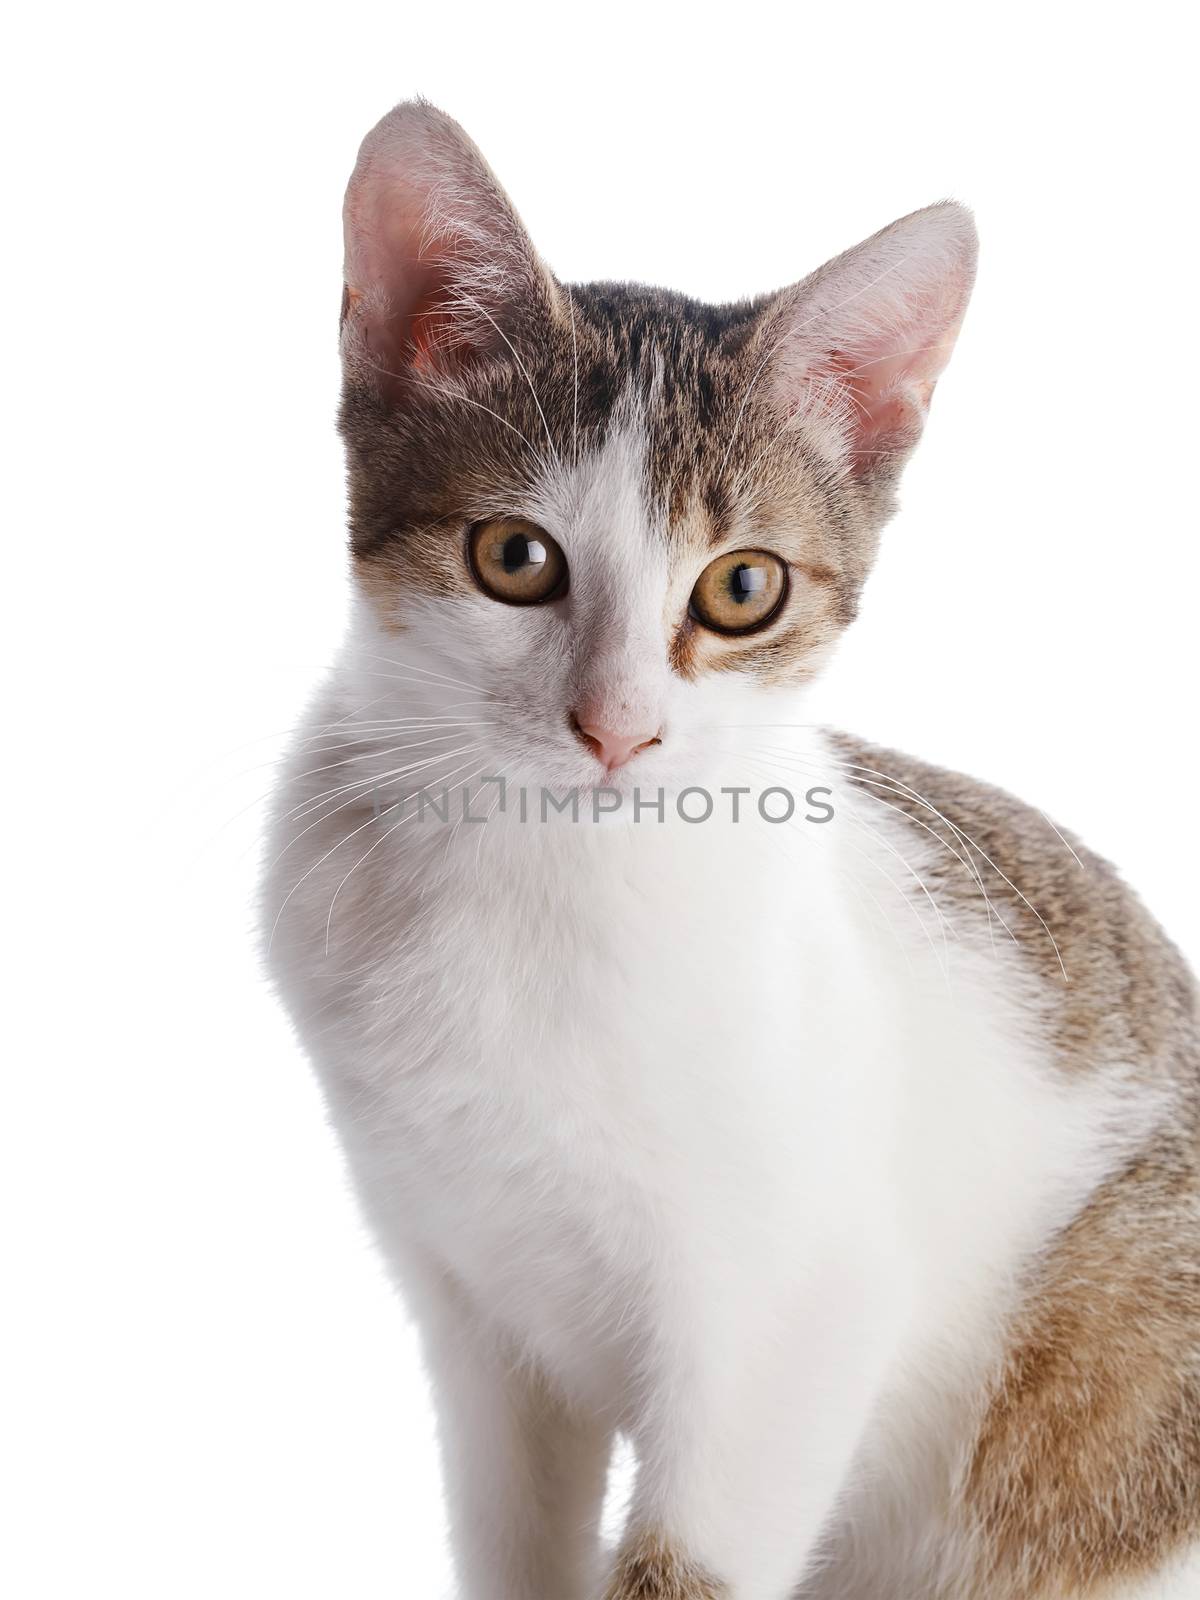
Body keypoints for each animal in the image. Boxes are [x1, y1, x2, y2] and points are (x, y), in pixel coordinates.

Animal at [262, 103, 1200, 1600]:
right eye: (515, 557)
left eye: (743, 588)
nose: (617, 727)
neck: (544, 885)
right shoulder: (470, 1309)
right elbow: (512, 1534)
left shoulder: (791, 1324)